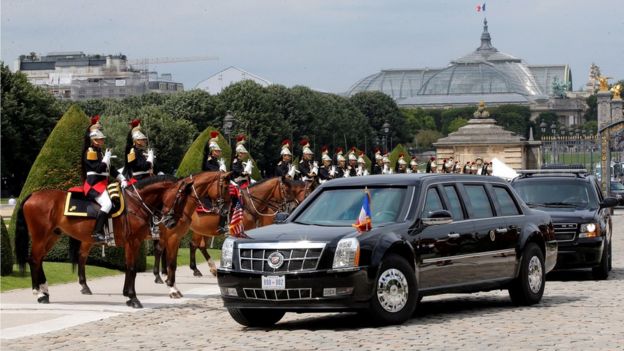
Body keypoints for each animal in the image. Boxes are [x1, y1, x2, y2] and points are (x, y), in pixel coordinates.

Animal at [14, 176, 195, 308]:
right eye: (181, 198)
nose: (172, 222)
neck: (136, 203)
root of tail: (33, 195)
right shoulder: (133, 242)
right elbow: (132, 269)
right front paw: (133, 298)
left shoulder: (137, 243)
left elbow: (130, 268)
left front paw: (128, 295)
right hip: (40, 236)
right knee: (34, 259)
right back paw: (39, 293)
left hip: (52, 236)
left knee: (39, 260)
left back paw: (44, 292)